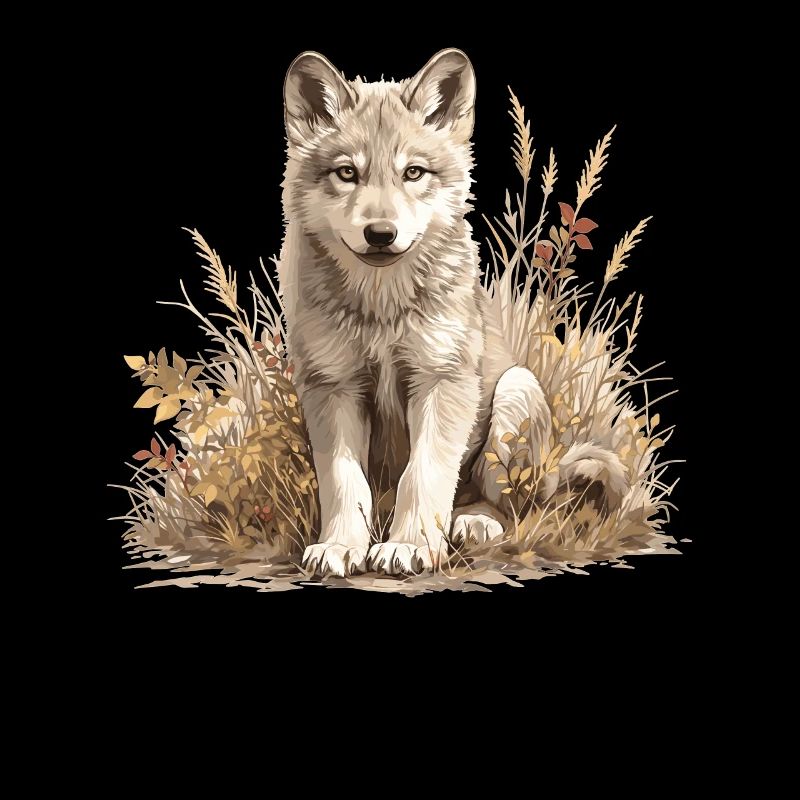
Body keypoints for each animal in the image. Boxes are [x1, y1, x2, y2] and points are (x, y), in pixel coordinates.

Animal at [279, 48, 628, 577]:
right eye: (346, 173)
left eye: (413, 173)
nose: (380, 234)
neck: (382, 308)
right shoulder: (332, 386)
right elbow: (343, 482)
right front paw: (340, 546)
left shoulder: (442, 380)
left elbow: (423, 474)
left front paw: (409, 546)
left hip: (515, 392)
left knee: (508, 507)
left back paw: (474, 522)